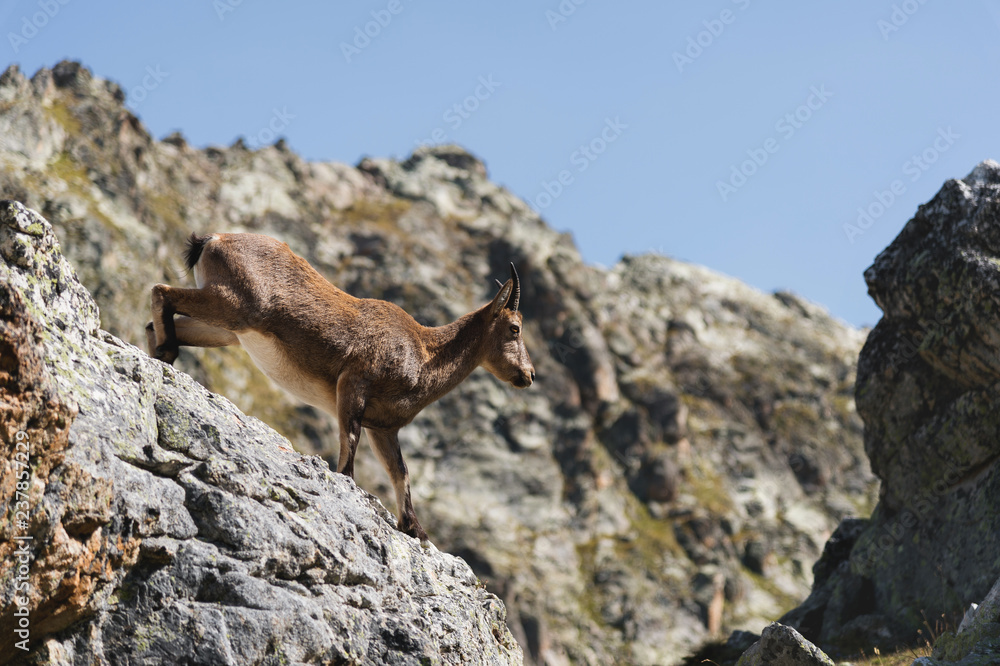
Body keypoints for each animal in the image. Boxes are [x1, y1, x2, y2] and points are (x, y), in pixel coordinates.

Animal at [146, 232, 535, 542]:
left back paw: (163, 355)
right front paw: (349, 488)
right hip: (234, 304)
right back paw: (166, 352)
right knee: (161, 291)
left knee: (157, 322)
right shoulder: (354, 382)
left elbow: (401, 472)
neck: (424, 355)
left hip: (228, 329)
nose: (528, 375)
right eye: (514, 328)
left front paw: (414, 528)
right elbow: (349, 443)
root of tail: (213, 239)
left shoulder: (384, 427)